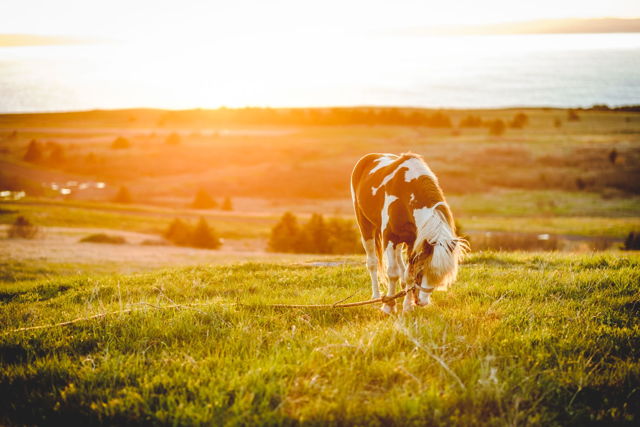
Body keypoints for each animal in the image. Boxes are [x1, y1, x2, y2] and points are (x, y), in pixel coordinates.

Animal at [351, 153, 468, 314]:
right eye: (422, 271)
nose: (422, 302)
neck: (405, 193)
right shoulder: (390, 238)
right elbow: (392, 273)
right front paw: (388, 305)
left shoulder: (414, 241)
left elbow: (408, 275)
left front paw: (407, 306)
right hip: (365, 226)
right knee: (373, 263)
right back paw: (376, 297)